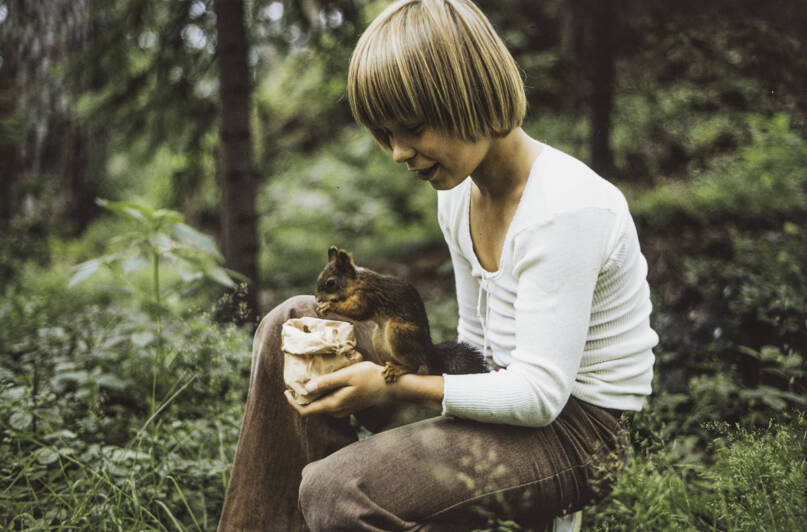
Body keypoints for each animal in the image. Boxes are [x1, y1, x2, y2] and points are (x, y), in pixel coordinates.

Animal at [316, 245, 486, 382]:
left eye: (331, 283)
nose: (318, 298)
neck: (357, 282)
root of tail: (430, 353)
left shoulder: (367, 295)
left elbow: (359, 311)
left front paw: (329, 305)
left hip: (399, 332)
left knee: (415, 366)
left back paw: (399, 368)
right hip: (378, 339)